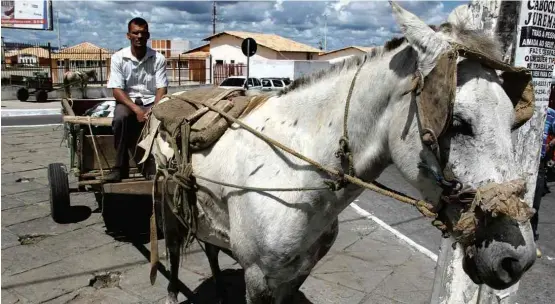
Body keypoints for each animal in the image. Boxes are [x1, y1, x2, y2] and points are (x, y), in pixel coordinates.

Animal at [144, 2, 540, 304]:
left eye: (513, 121)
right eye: (457, 122)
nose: (517, 260)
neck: (297, 173)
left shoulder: (296, 273)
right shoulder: (257, 277)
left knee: (210, 247)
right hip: (168, 203)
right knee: (174, 251)